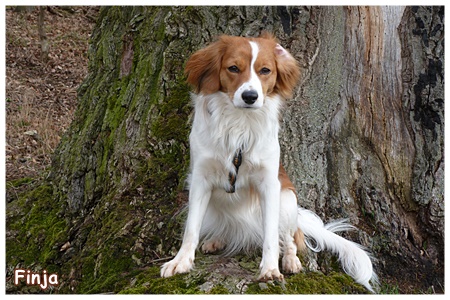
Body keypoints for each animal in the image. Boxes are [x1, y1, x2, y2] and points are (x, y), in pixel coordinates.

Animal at [160, 33, 378, 292]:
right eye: (233, 68)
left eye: (265, 70)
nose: (250, 96)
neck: (239, 124)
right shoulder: (200, 180)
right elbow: (191, 229)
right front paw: (181, 261)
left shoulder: (270, 185)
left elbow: (271, 237)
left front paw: (270, 269)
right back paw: (217, 239)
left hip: (288, 201)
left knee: (290, 238)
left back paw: (290, 260)